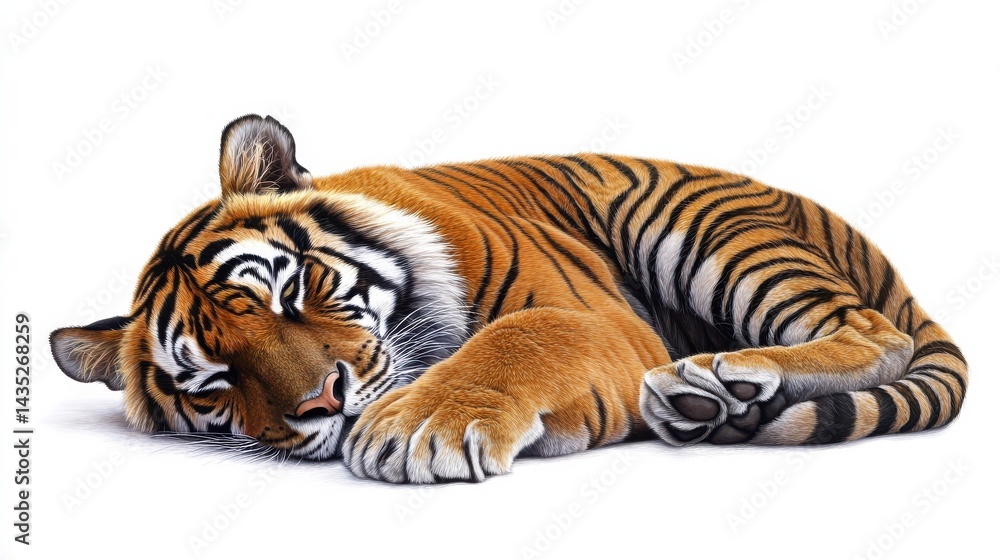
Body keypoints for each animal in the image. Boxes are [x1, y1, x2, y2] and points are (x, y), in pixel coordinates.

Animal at [50, 114, 968, 483]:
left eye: (290, 291)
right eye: (214, 383)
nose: (323, 403)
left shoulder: (595, 318)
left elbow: (522, 336)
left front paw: (420, 429)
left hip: (700, 225)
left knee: (873, 330)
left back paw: (720, 376)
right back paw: (712, 401)